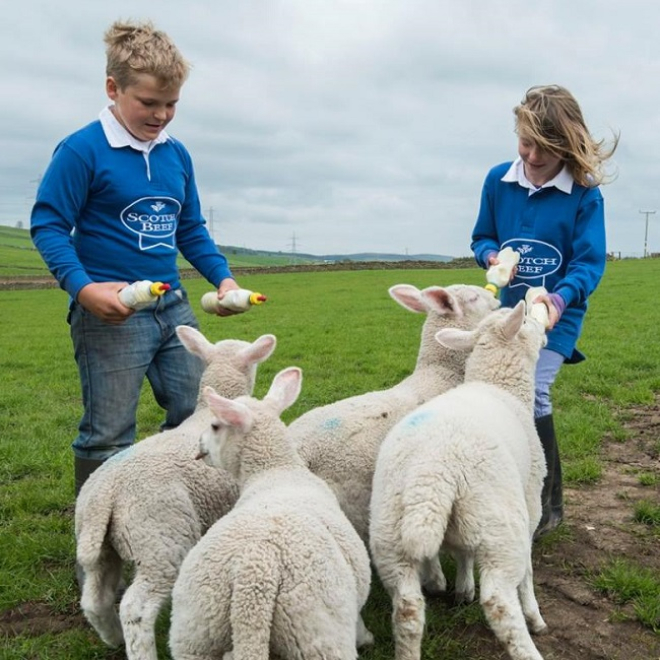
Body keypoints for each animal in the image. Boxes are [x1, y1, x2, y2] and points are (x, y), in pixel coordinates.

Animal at [75, 328, 276, 660]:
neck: (209, 408)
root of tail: (105, 494)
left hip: (101, 544)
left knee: (94, 598)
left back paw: (112, 637)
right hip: (160, 541)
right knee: (136, 609)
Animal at [170, 368, 374, 656]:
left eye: (215, 426)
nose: (199, 445)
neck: (277, 469)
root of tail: (255, 575)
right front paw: (366, 637)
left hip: (197, 630)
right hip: (317, 632)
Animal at [372, 302, 548, 660]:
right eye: (525, 319)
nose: (542, 316)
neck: (499, 385)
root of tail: (432, 472)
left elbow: (462, 551)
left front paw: (463, 589)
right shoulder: (531, 497)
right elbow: (527, 572)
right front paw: (535, 615)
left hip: (390, 536)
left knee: (407, 608)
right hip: (500, 526)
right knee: (499, 602)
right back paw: (529, 645)